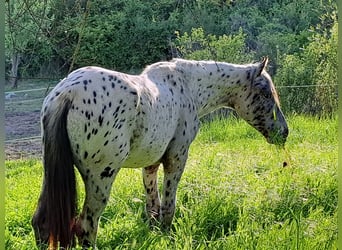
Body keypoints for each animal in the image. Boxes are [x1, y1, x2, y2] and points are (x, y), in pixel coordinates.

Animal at [32, 58, 288, 248]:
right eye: (265, 93)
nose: (284, 132)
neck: (187, 86)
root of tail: (68, 93)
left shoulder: (151, 164)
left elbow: (152, 205)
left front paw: (155, 233)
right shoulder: (176, 158)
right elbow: (168, 205)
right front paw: (166, 233)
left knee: (42, 224)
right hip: (101, 179)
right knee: (86, 226)